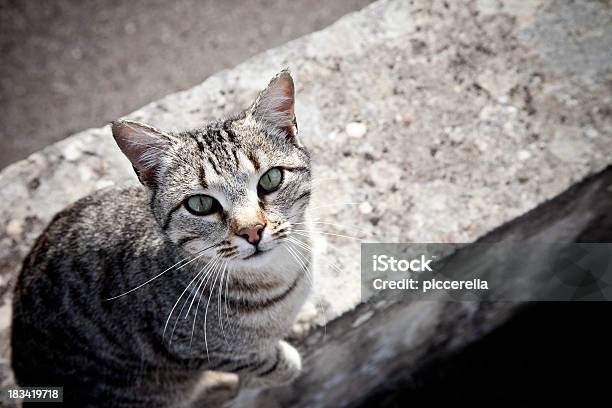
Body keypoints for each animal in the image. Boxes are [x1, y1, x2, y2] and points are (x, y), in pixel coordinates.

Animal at [11, 70, 314, 404]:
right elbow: (269, 363)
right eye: (200, 204)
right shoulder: (196, 351)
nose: (252, 230)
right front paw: (281, 360)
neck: (278, 279)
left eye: (271, 179)